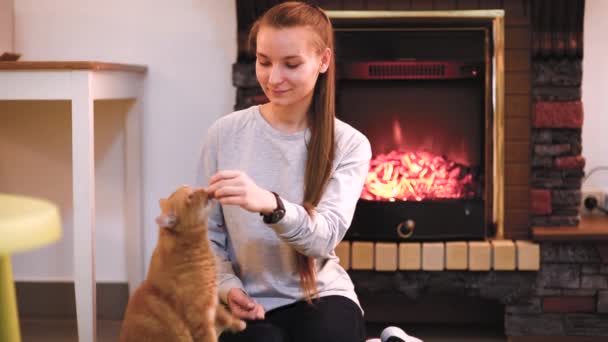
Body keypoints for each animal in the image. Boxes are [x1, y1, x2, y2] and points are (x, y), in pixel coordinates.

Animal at [120, 186, 246, 340]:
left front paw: (239, 324)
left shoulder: (213, 301)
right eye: (190, 196)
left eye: (192, 188)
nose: (204, 189)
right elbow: (210, 336)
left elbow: (225, 315)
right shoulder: (201, 318)